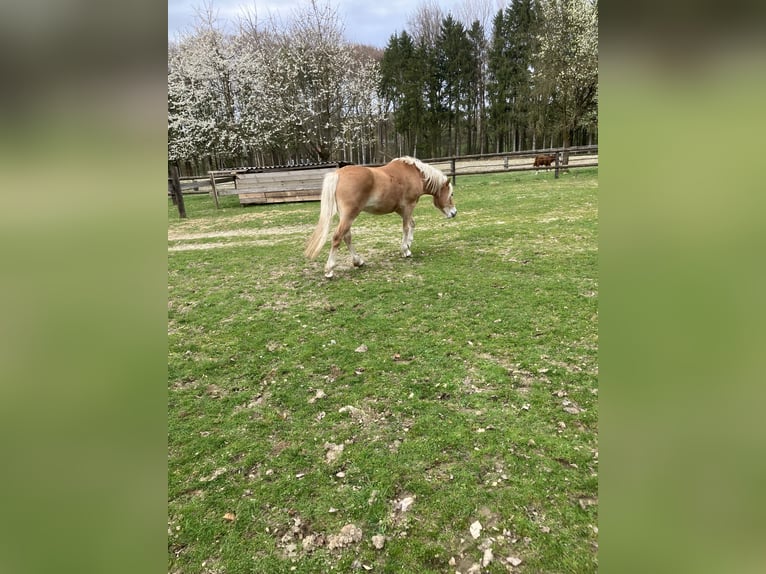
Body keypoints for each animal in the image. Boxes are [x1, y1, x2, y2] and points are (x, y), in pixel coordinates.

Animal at [304, 156, 457, 278]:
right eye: (451, 194)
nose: (454, 213)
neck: (415, 174)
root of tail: (338, 174)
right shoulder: (409, 206)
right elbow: (406, 227)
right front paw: (405, 250)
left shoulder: (400, 209)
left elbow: (412, 224)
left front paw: (408, 244)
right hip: (349, 215)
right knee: (337, 237)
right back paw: (329, 270)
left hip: (346, 217)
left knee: (347, 237)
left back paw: (358, 261)